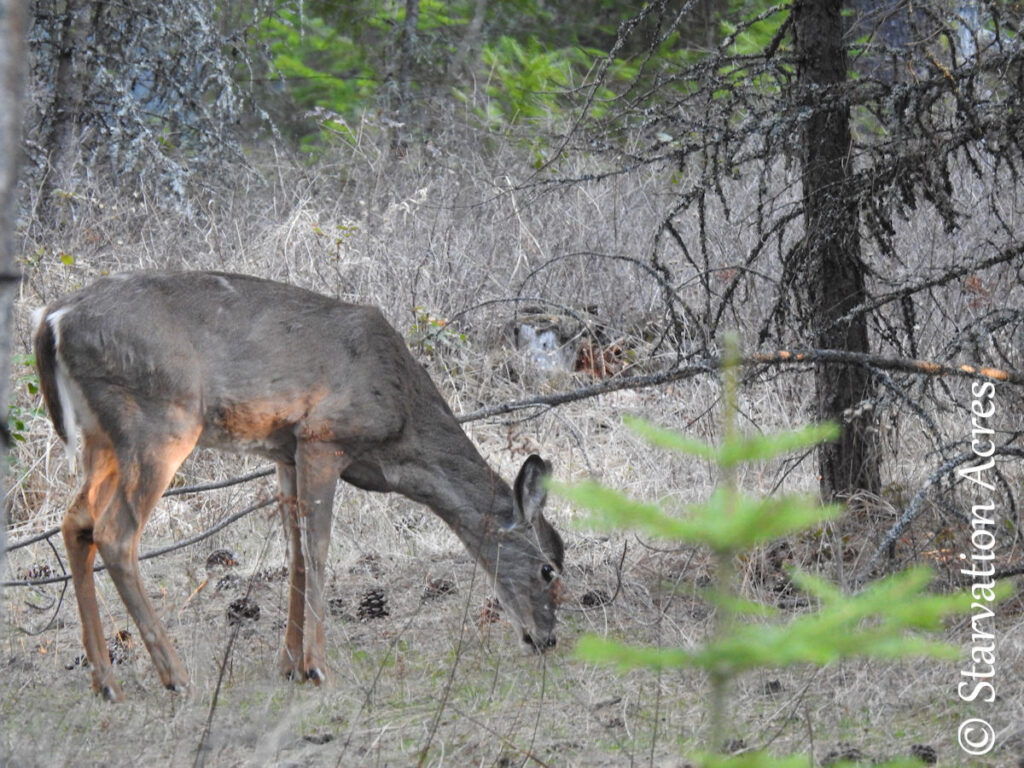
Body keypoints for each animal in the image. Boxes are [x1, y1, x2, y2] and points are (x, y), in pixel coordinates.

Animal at [32, 270, 565, 704]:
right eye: (548, 570)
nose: (547, 638)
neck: (400, 428)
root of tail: (52, 319)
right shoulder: (323, 436)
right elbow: (319, 550)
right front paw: (317, 667)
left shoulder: (285, 452)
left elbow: (295, 556)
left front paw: (288, 665)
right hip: (158, 423)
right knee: (115, 532)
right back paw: (175, 677)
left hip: (101, 440)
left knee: (75, 521)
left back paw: (106, 682)